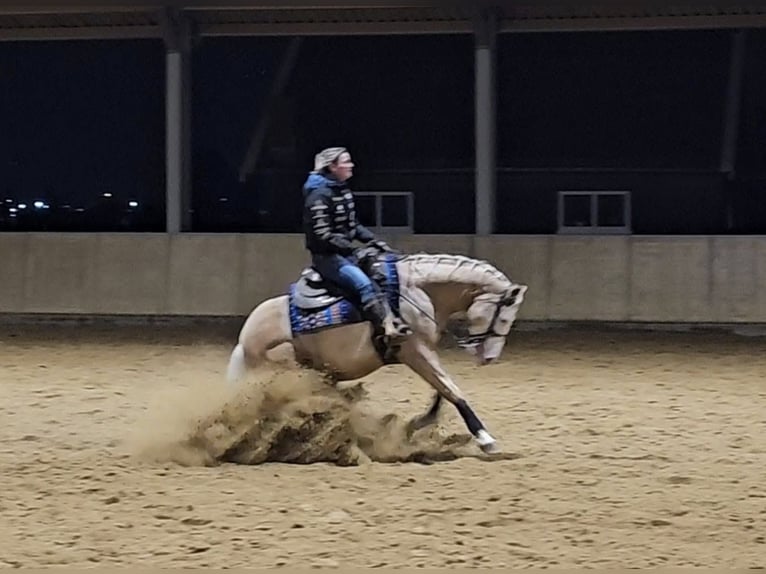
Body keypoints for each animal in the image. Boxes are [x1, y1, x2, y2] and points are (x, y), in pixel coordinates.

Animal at [226, 250, 528, 456]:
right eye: (503, 318)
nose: (489, 358)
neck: (417, 293)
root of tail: (246, 337)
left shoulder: (425, 352)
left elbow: (442, 389)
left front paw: (419, 423)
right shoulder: (415, 352)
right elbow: (452, 390)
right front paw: (485, 438)